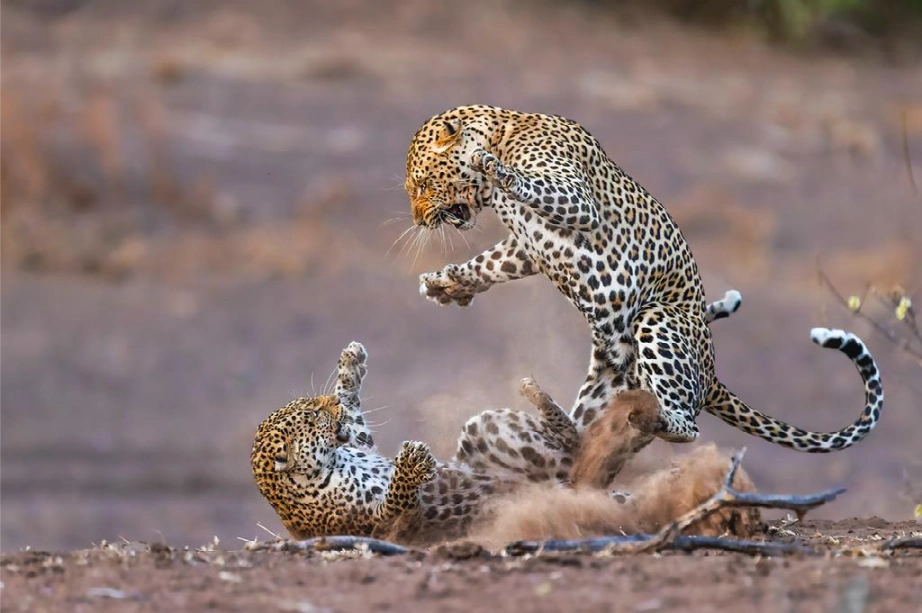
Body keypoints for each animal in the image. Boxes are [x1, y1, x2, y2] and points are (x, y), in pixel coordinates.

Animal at [404, 104, 883, 456]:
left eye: (422, 184)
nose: (420, 220)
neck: (505, 129)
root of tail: (711, 376)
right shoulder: (526, 245)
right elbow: (491, 263)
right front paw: (447, 283)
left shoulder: (574, 200)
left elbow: (520, 181)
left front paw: (490, 165)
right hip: (607, 380)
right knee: (585, 436)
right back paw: (555, 417)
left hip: (656, 318)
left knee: (688, 426)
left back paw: (654, 419)